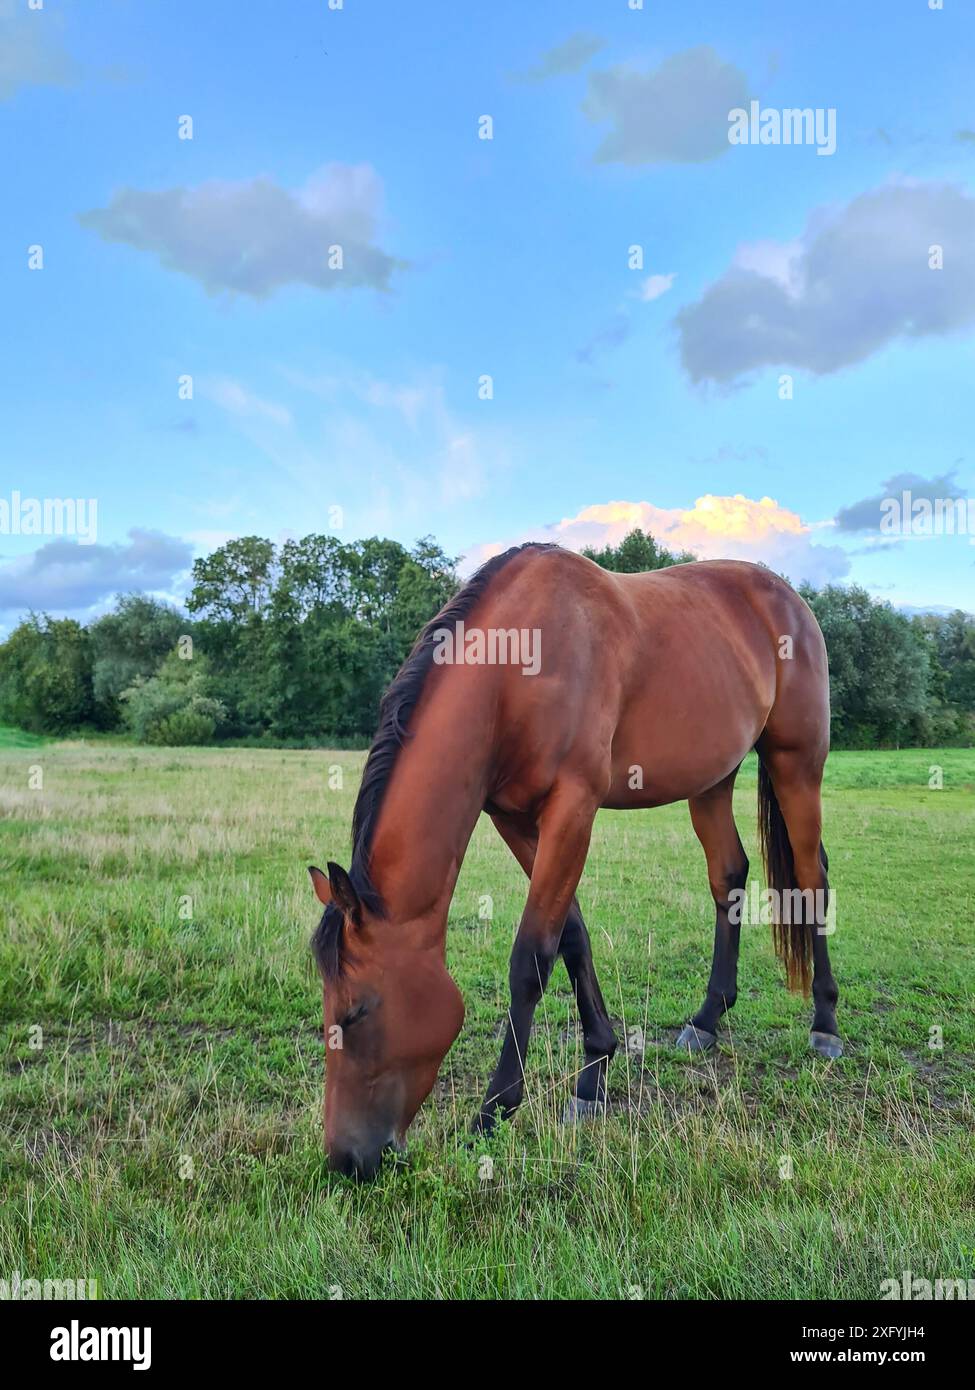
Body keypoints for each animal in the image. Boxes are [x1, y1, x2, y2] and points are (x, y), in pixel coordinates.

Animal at [310, 539, 834, 1173]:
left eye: (358, 1012)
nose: (345, 1160)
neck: (514, 672)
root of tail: (788, 598)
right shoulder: (514, 819)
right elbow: (572, 935)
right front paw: (594, 1075)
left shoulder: (573, 808)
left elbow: (531, 957)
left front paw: (493, 1112)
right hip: (713, 779)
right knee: (728, 876)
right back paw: (708, 1018)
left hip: (796, 762)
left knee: (811, 877)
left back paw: (826, 1024)